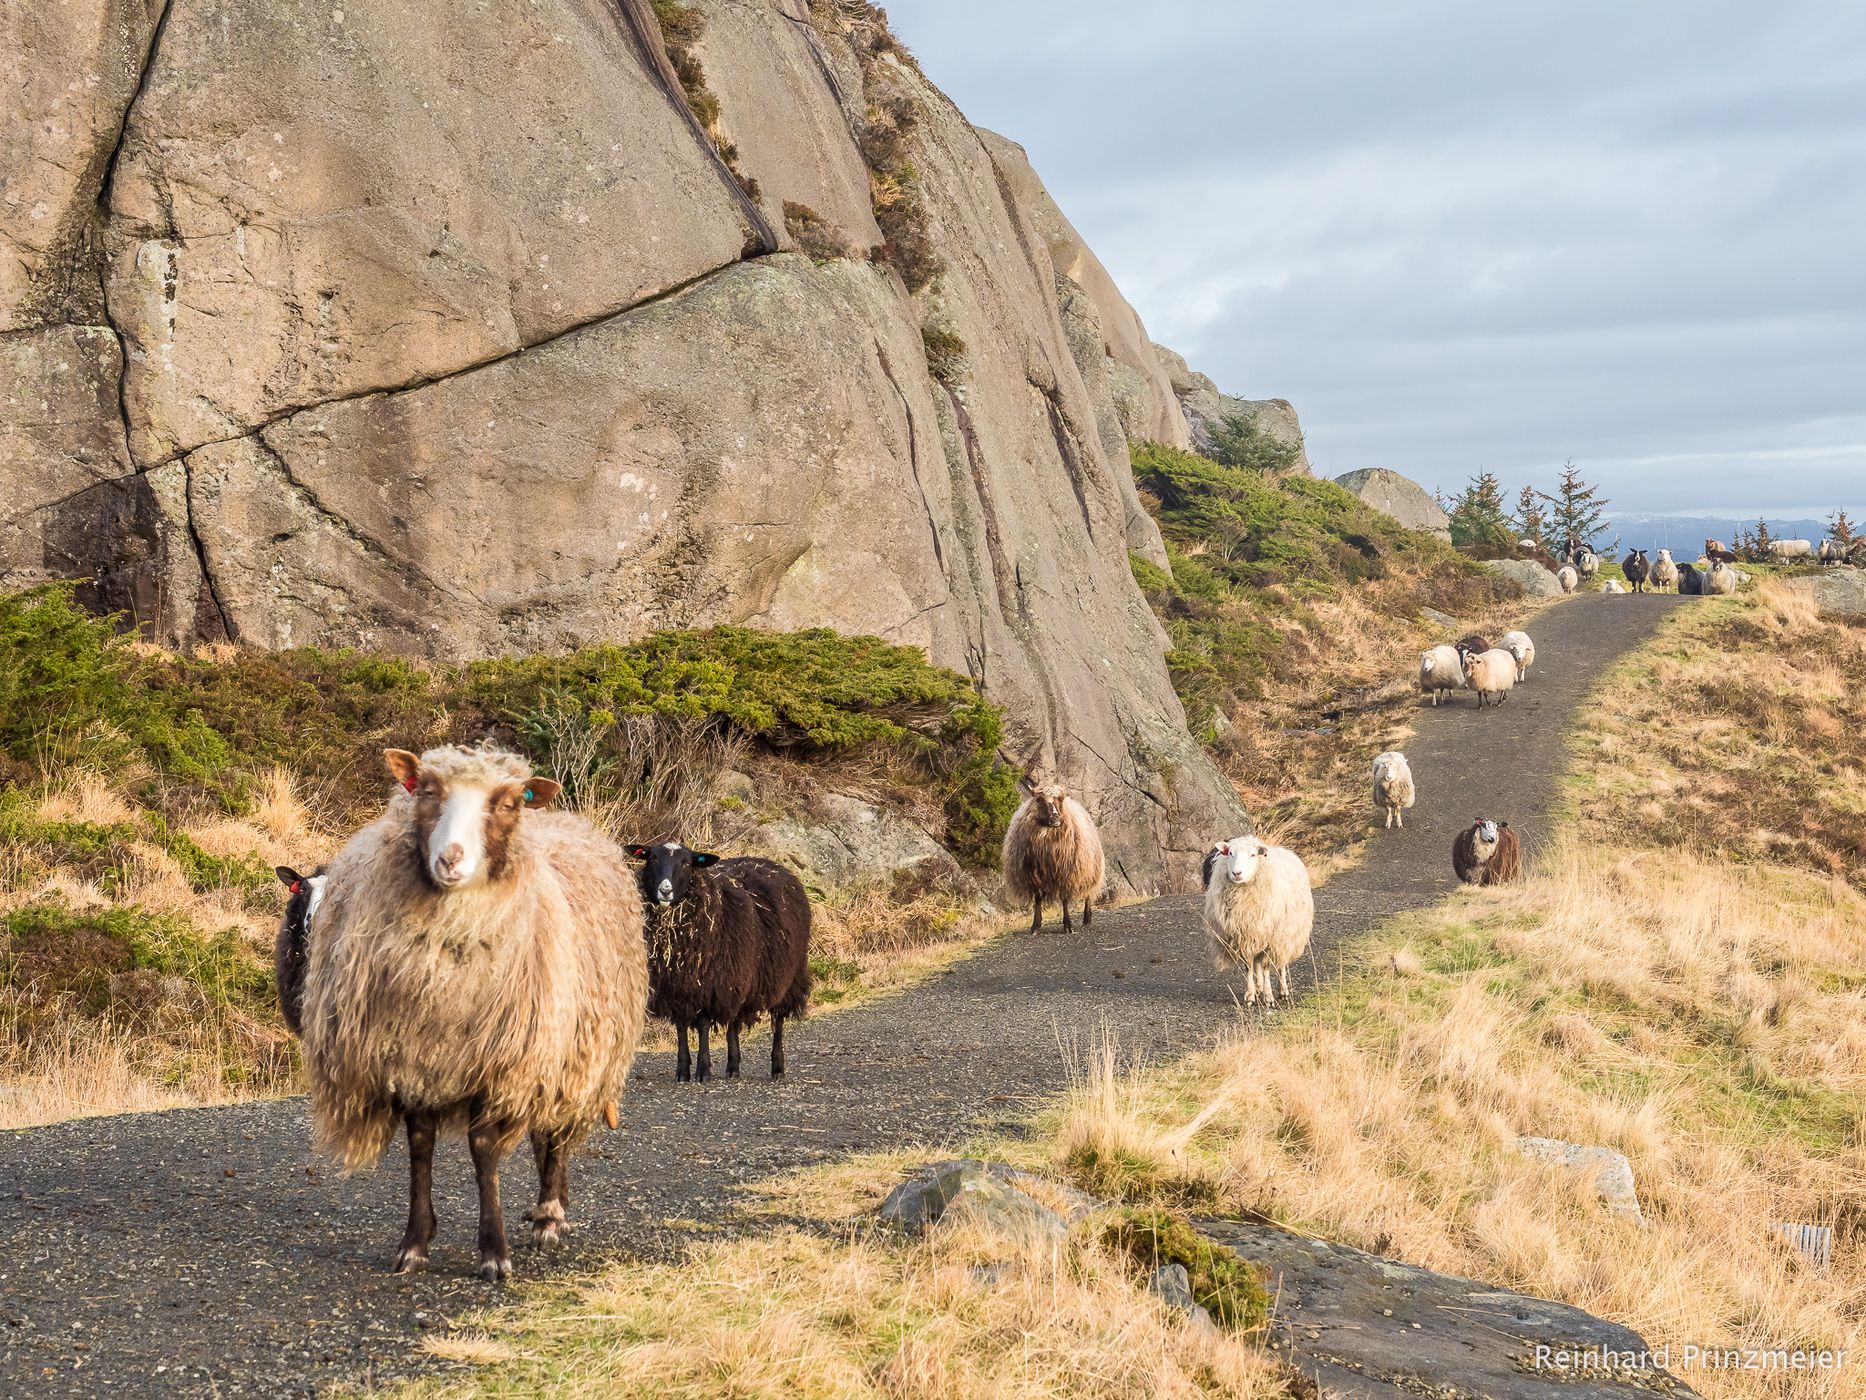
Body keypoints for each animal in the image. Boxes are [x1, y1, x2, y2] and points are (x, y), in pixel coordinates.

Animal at [300, 745, 647, 1281]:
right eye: (426, 789)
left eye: (507, 803)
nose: (450, 858)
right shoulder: (415, 1055)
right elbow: (421, 1146)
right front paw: (415, 1244)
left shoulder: (501, 1062)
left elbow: (484, 1151)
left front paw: (494, 1252)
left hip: (573, 1049)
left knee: (556, 1134)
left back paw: (549, 1215)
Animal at [628, 842, 812, 1083]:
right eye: (652, 858)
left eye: (686, 862)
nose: (665, 890)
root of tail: (776, 866)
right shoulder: (677, 987)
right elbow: (681, 1027)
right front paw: (683, 1070)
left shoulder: (709, 984)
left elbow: (704, 1025)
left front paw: (703, 1070)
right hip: (739, 976)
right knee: (734, 1023)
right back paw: (733, 1067)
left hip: (787, 976)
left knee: (778, 1022)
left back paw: (777, 1068)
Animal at [1002, 774, 1105, 933]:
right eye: (1040, 800)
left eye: (1059, 800)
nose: (1055, 818)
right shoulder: (1034, 874)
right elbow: (1037, 900)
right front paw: (1035, 926)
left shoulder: (1066, 873)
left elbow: (1065, 899)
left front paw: (1068, 925)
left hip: (1090, 868)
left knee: (1089, 893)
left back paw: (1087, 918)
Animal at [1202, 837, 1314, 1007]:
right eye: (1230, 853)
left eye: (1253, 855)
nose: (1237, 873)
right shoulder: (1244, 936)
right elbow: (1249, 966)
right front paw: (1250, 995)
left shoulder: (1271, 939)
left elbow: (1267, 966)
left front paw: (1269, 997)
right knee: (1257, 963)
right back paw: (1259, 988)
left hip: (1284, 934)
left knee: (1280, 963)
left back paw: (1282, 990)